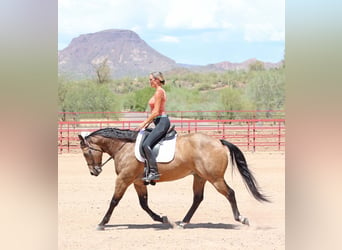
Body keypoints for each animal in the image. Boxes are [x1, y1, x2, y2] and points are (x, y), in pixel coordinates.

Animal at [78, 127, 270, 230]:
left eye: (86, 152)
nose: (94, 172)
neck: (124, 146)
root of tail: (219, 142)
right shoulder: (137, 181)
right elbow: (144, 204)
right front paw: (162, 219)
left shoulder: (124, 179)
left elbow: (114, 201)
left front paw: (102, 223)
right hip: (200, 177)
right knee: (198, 198)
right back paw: (183, 222)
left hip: (215, 178)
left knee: (230, 193)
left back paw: (241, 218)